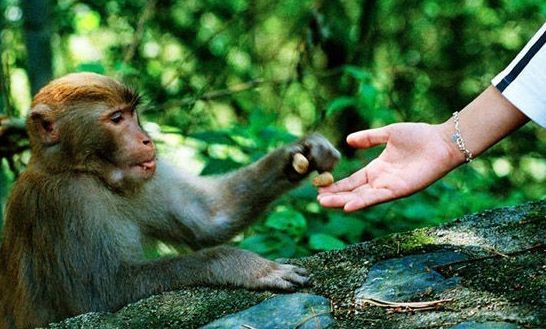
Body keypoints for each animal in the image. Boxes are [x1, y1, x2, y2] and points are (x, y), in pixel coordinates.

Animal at [0, 72, 340, 328]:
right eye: (116, 118)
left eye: (132, 113)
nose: (146, 139)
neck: (85, 171)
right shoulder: (63, 202)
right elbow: (102, 296)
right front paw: (244, 266)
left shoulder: (147, 176)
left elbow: (209, 216)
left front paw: (301, 154)